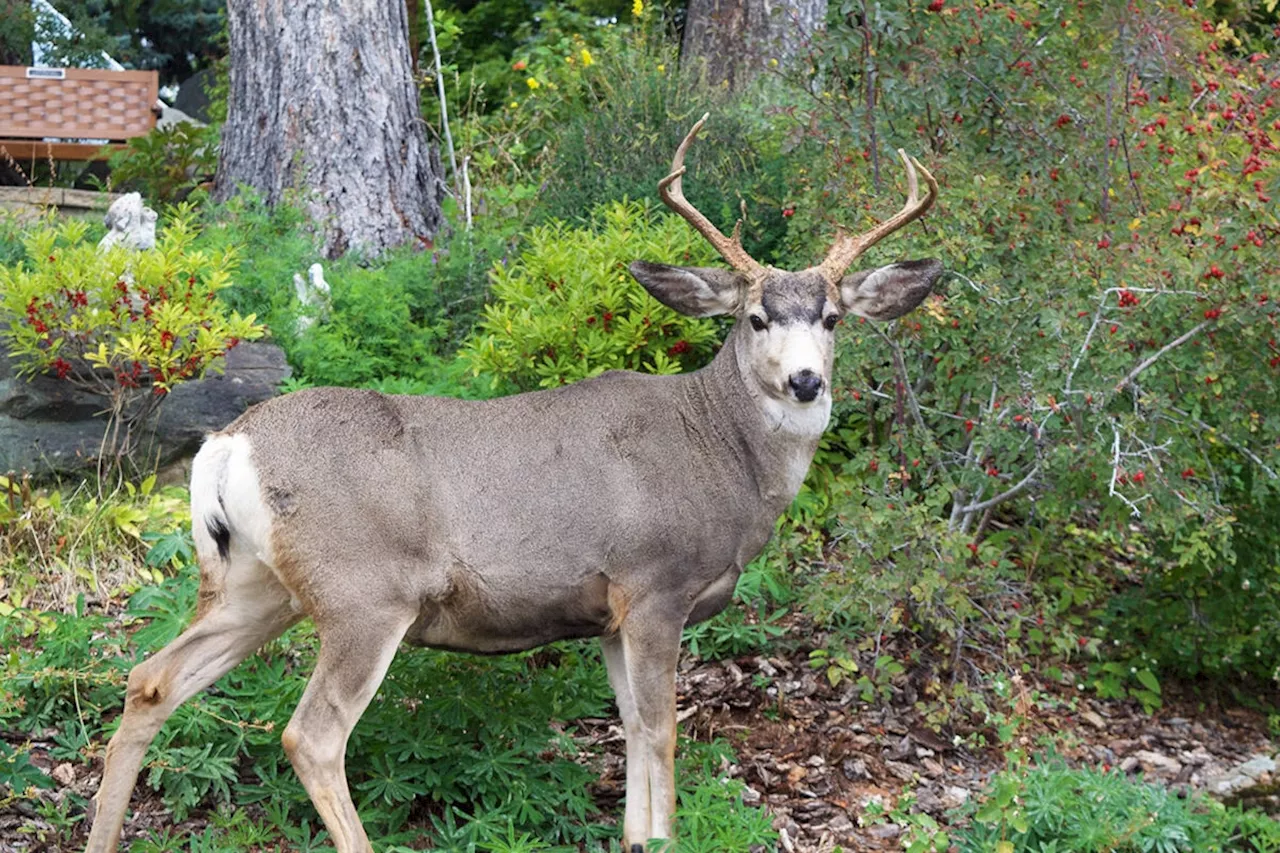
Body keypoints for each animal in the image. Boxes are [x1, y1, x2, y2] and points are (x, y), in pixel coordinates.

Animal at [82, 114, 942, 850]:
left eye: (832, 318)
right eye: (756, 318)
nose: (804, 382)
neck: (717, 448)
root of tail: (229, 445)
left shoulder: (607, 613)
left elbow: (632, 728)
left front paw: (636, 836)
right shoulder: (654, 583)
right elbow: (663, 729)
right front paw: (663, 835)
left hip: (255, 582)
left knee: (151, 679)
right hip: (363, 591)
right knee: (311, 733)